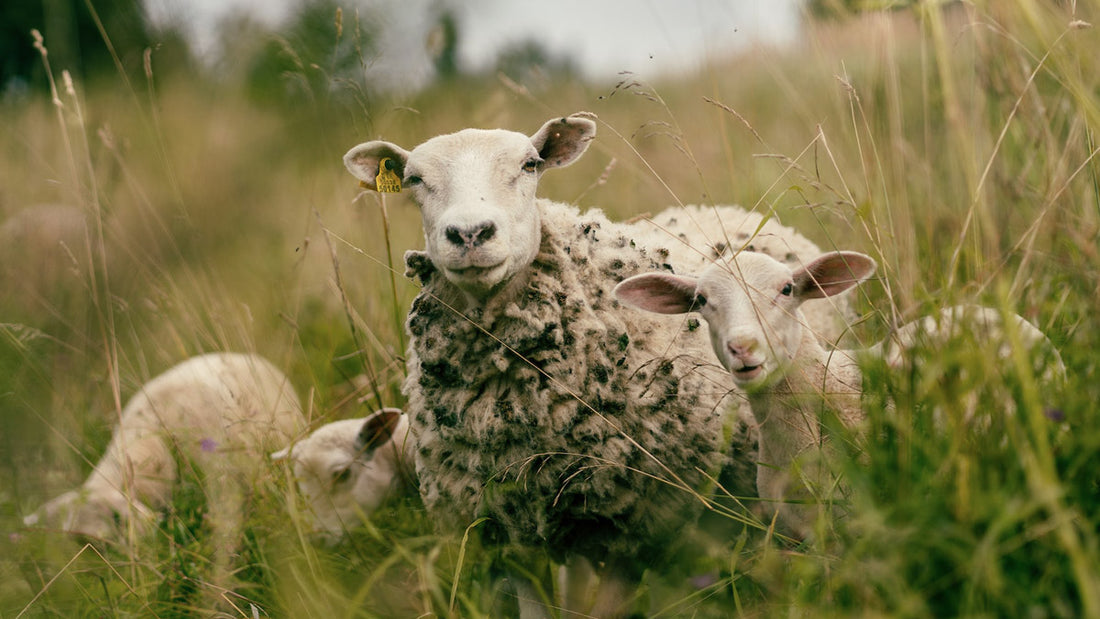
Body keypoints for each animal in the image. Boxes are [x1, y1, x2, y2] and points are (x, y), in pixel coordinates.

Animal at [343, 112, 858, 615]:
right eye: (414, 179)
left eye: (530, 165)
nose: (470, 234)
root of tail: (734, 209)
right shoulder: (507, 528)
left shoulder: (627, 525)